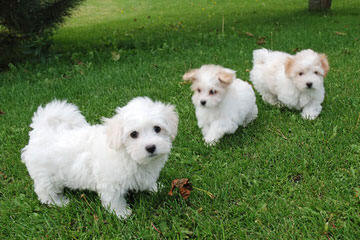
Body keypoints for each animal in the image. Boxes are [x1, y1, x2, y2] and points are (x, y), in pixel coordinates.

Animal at [20, 97, 178, 219]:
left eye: (157, 128)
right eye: (133, 134)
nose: (151, 147)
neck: (127, 153)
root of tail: (41, 132)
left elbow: (147, 181)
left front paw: (155, 188)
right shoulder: (110, 183)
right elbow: (114, 199)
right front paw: (121, 213)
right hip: (45, 175)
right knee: (44, 191)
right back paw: (58, 202)